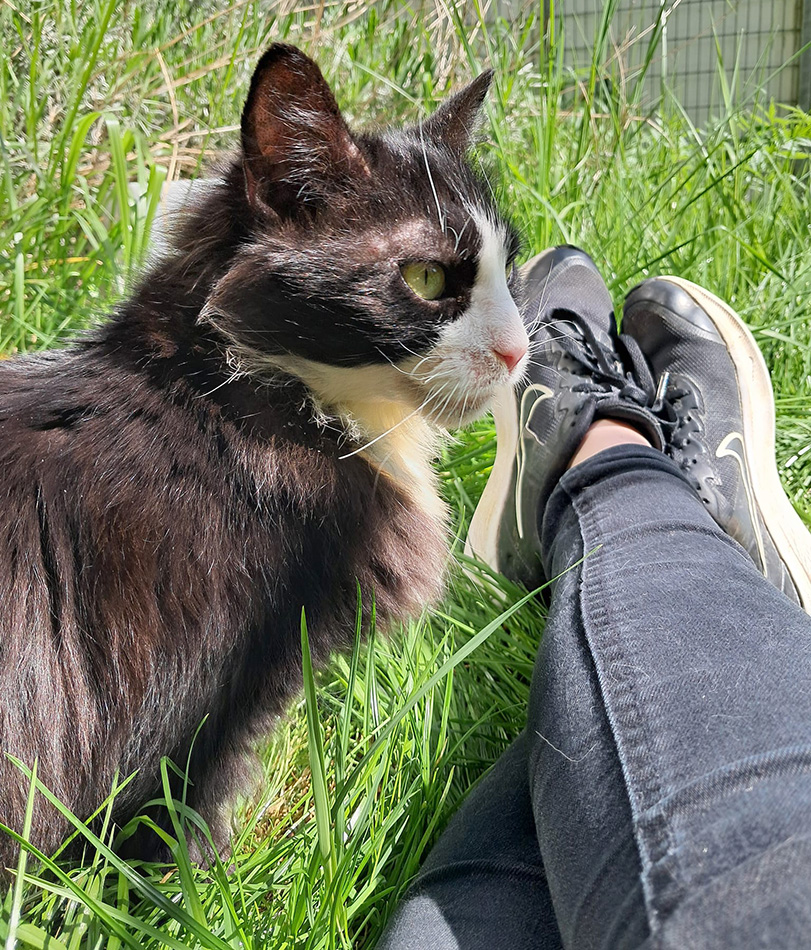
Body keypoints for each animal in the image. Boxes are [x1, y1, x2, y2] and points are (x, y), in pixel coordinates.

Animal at [0, 46, 532, 876]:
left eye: (509, 269)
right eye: (427, 279)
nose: (517, 349)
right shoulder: (212, 703)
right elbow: (171, 839)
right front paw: (196, 893)